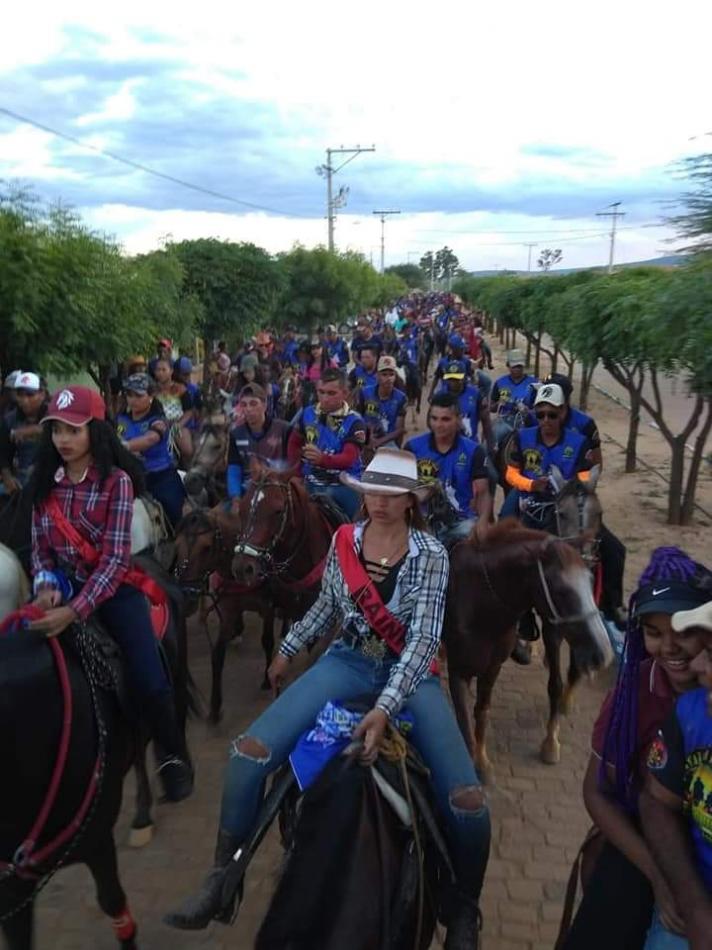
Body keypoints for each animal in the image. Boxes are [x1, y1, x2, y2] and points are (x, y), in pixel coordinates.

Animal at [444, 524, 612, 784]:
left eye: (591, 580)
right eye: (561, 591)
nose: (602, 652)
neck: (477, 601)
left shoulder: (493, 666)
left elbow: (482, 710)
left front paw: (482, 763)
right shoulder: (457, 671)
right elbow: (462, 724)